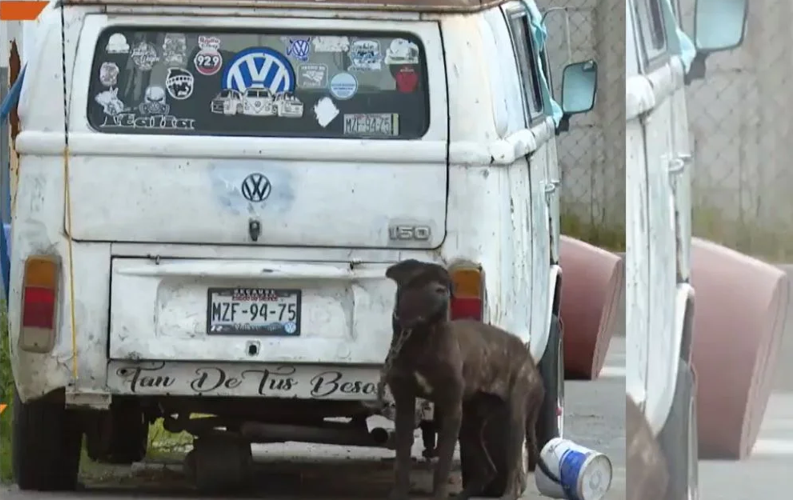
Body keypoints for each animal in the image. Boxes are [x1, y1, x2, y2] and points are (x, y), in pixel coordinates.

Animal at [382, 260, 556, 498]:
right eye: (419, 279)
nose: (441, 291)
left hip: (513, 418)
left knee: (516, 473)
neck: (421, 339)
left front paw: (439, 495)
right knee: (488, 470)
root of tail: (530, 361)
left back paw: (508, 493)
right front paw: (399, 493)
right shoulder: (405, 406)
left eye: (444, 282)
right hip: (470, 423)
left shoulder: (451, 409)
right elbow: (402, 460)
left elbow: (443, 465)